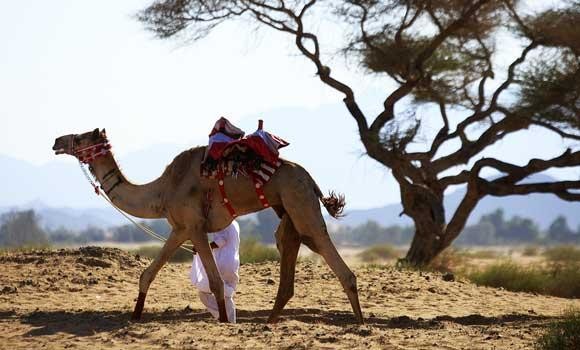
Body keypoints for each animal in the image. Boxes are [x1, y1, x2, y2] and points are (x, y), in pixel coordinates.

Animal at [53, 128, 362, 322]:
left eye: (80, 137)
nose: (57, 141)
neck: (162, 190)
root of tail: (312, 180)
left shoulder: (195, 226)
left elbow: (215, 282)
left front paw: (224, 321)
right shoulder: (180, 228)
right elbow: (147, 274)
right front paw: (135, 315)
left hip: (300, 201)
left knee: (325, 249)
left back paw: (359, 323)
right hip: (287, 209)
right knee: (289, 248)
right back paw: (270, 322)